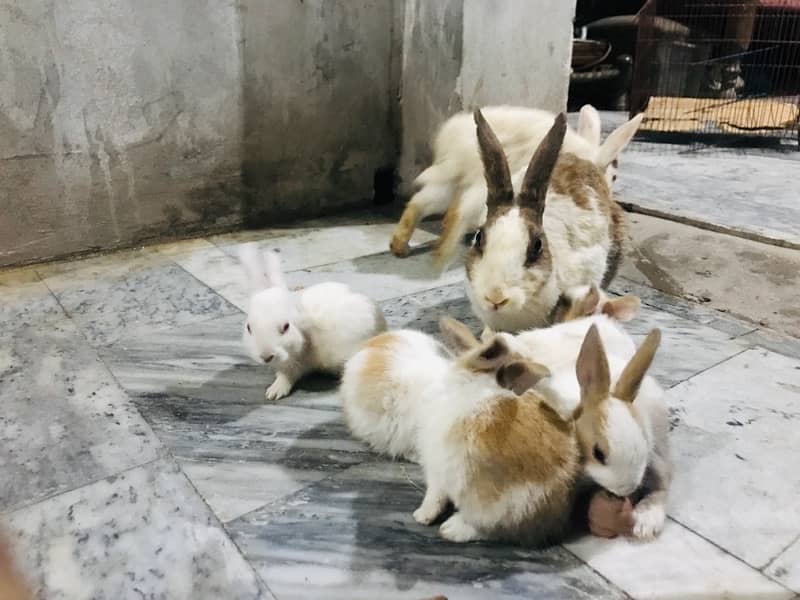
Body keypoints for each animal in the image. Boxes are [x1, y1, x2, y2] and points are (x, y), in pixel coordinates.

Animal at [238, 241, 388, 400]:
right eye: (248, 328)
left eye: (286, 327)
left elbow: (289, 376)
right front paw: (273, 392)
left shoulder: (295, 362)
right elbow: (284, 376)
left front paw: (275, 392)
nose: (266, 356)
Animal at [390, 105, 644, 270]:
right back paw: (441, 258)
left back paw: (400, 247)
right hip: (485, 185)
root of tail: (455, 144)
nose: (608, 195)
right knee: (456, 213)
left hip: (452, 183)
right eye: (614, 176)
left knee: (420, 203)